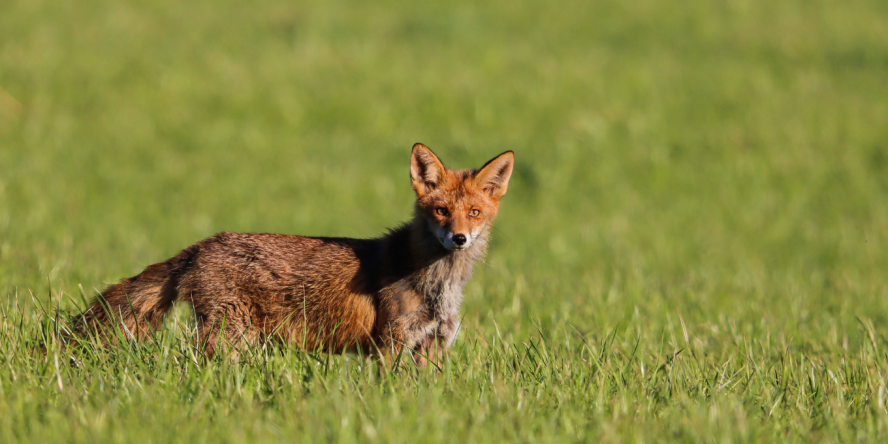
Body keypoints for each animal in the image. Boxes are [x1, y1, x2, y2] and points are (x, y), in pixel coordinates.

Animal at [76, 143, 512, 368]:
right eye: (441, 211)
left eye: (474, 213)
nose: (458, 238)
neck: (437, 282)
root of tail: (202, 244)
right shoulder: (390, 344)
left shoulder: (433, 345)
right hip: (230, 336)